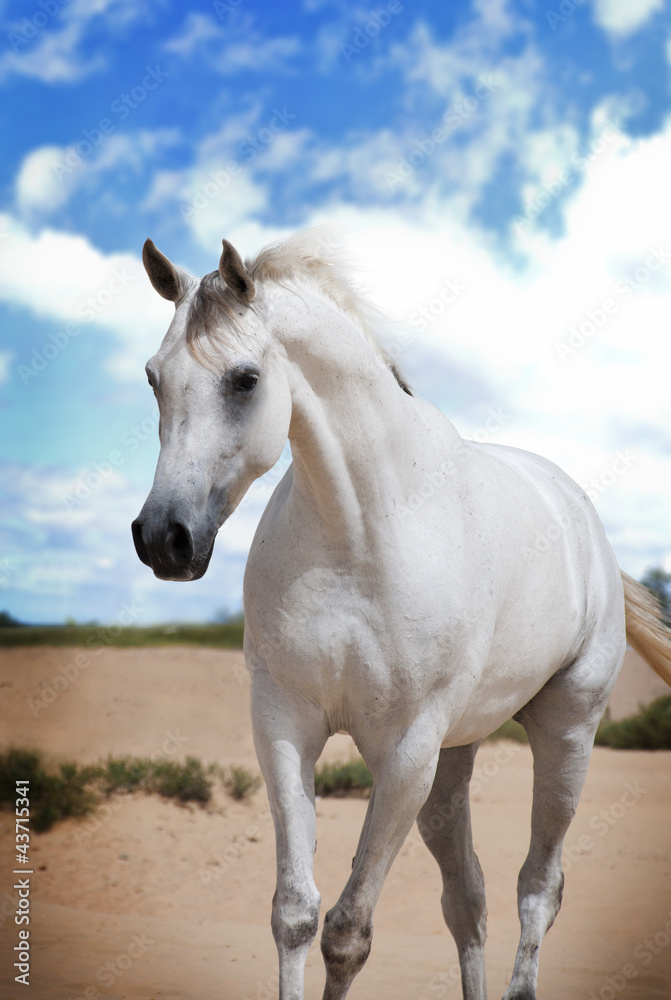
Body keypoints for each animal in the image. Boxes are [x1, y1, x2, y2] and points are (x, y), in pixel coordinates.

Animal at [133, 230, 671, 996]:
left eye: (244, 379)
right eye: (154, 377)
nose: (163, 538)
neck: (358, 531)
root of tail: (583, 517)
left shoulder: (406, 752)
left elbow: (348, 934)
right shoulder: (284, 725)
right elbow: (295, 914)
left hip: (565, 733)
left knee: (538, 887)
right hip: (454, 759)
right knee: (467, 898)